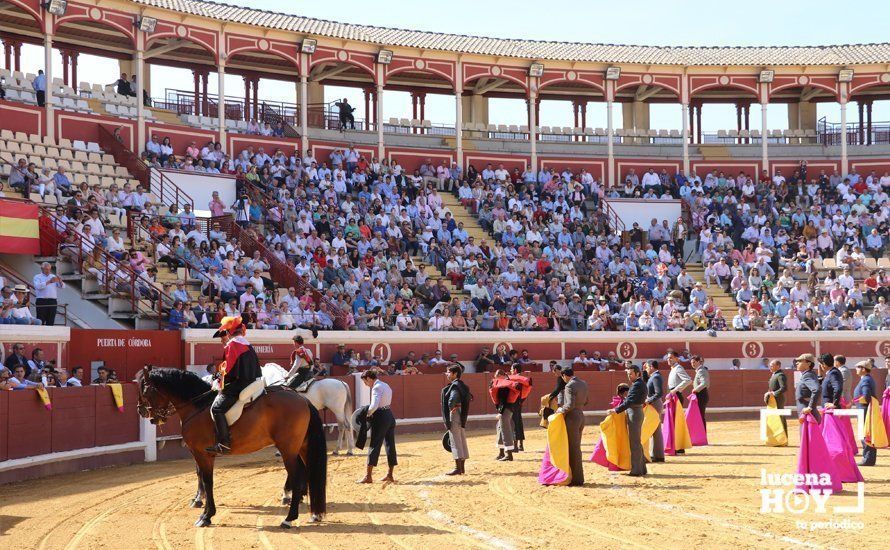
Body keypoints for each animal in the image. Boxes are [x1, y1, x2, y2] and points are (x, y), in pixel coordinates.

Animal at [140, 368, 328, 528]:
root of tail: (303, 400)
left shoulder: (201, 454)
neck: (197, 406)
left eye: (145, 391)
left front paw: (206, 515)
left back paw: (288, 518)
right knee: (308, 471)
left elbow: (207, 480)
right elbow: (202, 477)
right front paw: (202, 506)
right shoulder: (198, 453)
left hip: (288, 450)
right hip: (301, 447)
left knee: (297, 476)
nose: (143, 412)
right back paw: (313, 513)